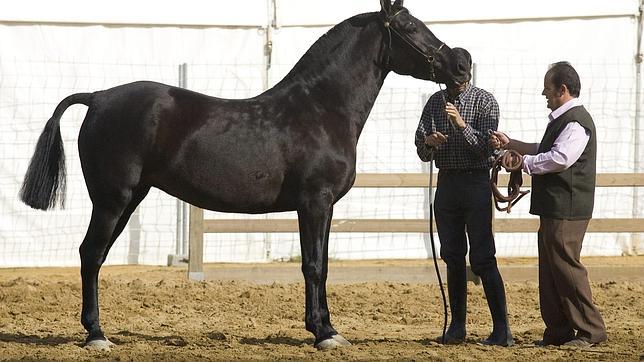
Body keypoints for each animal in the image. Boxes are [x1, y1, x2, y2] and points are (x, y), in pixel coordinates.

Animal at [18, 0, 462, 350]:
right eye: (409, 27)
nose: (460, 65)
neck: (320, 109)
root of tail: (97, 98)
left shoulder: (324, 208)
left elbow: (322, 264)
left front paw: (326, 328)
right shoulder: (314, 203)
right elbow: (313, 266)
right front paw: (323, 334)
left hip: (129, 199)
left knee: (94, 256)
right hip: (113, 200)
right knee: (91, 255)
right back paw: (96, 335)